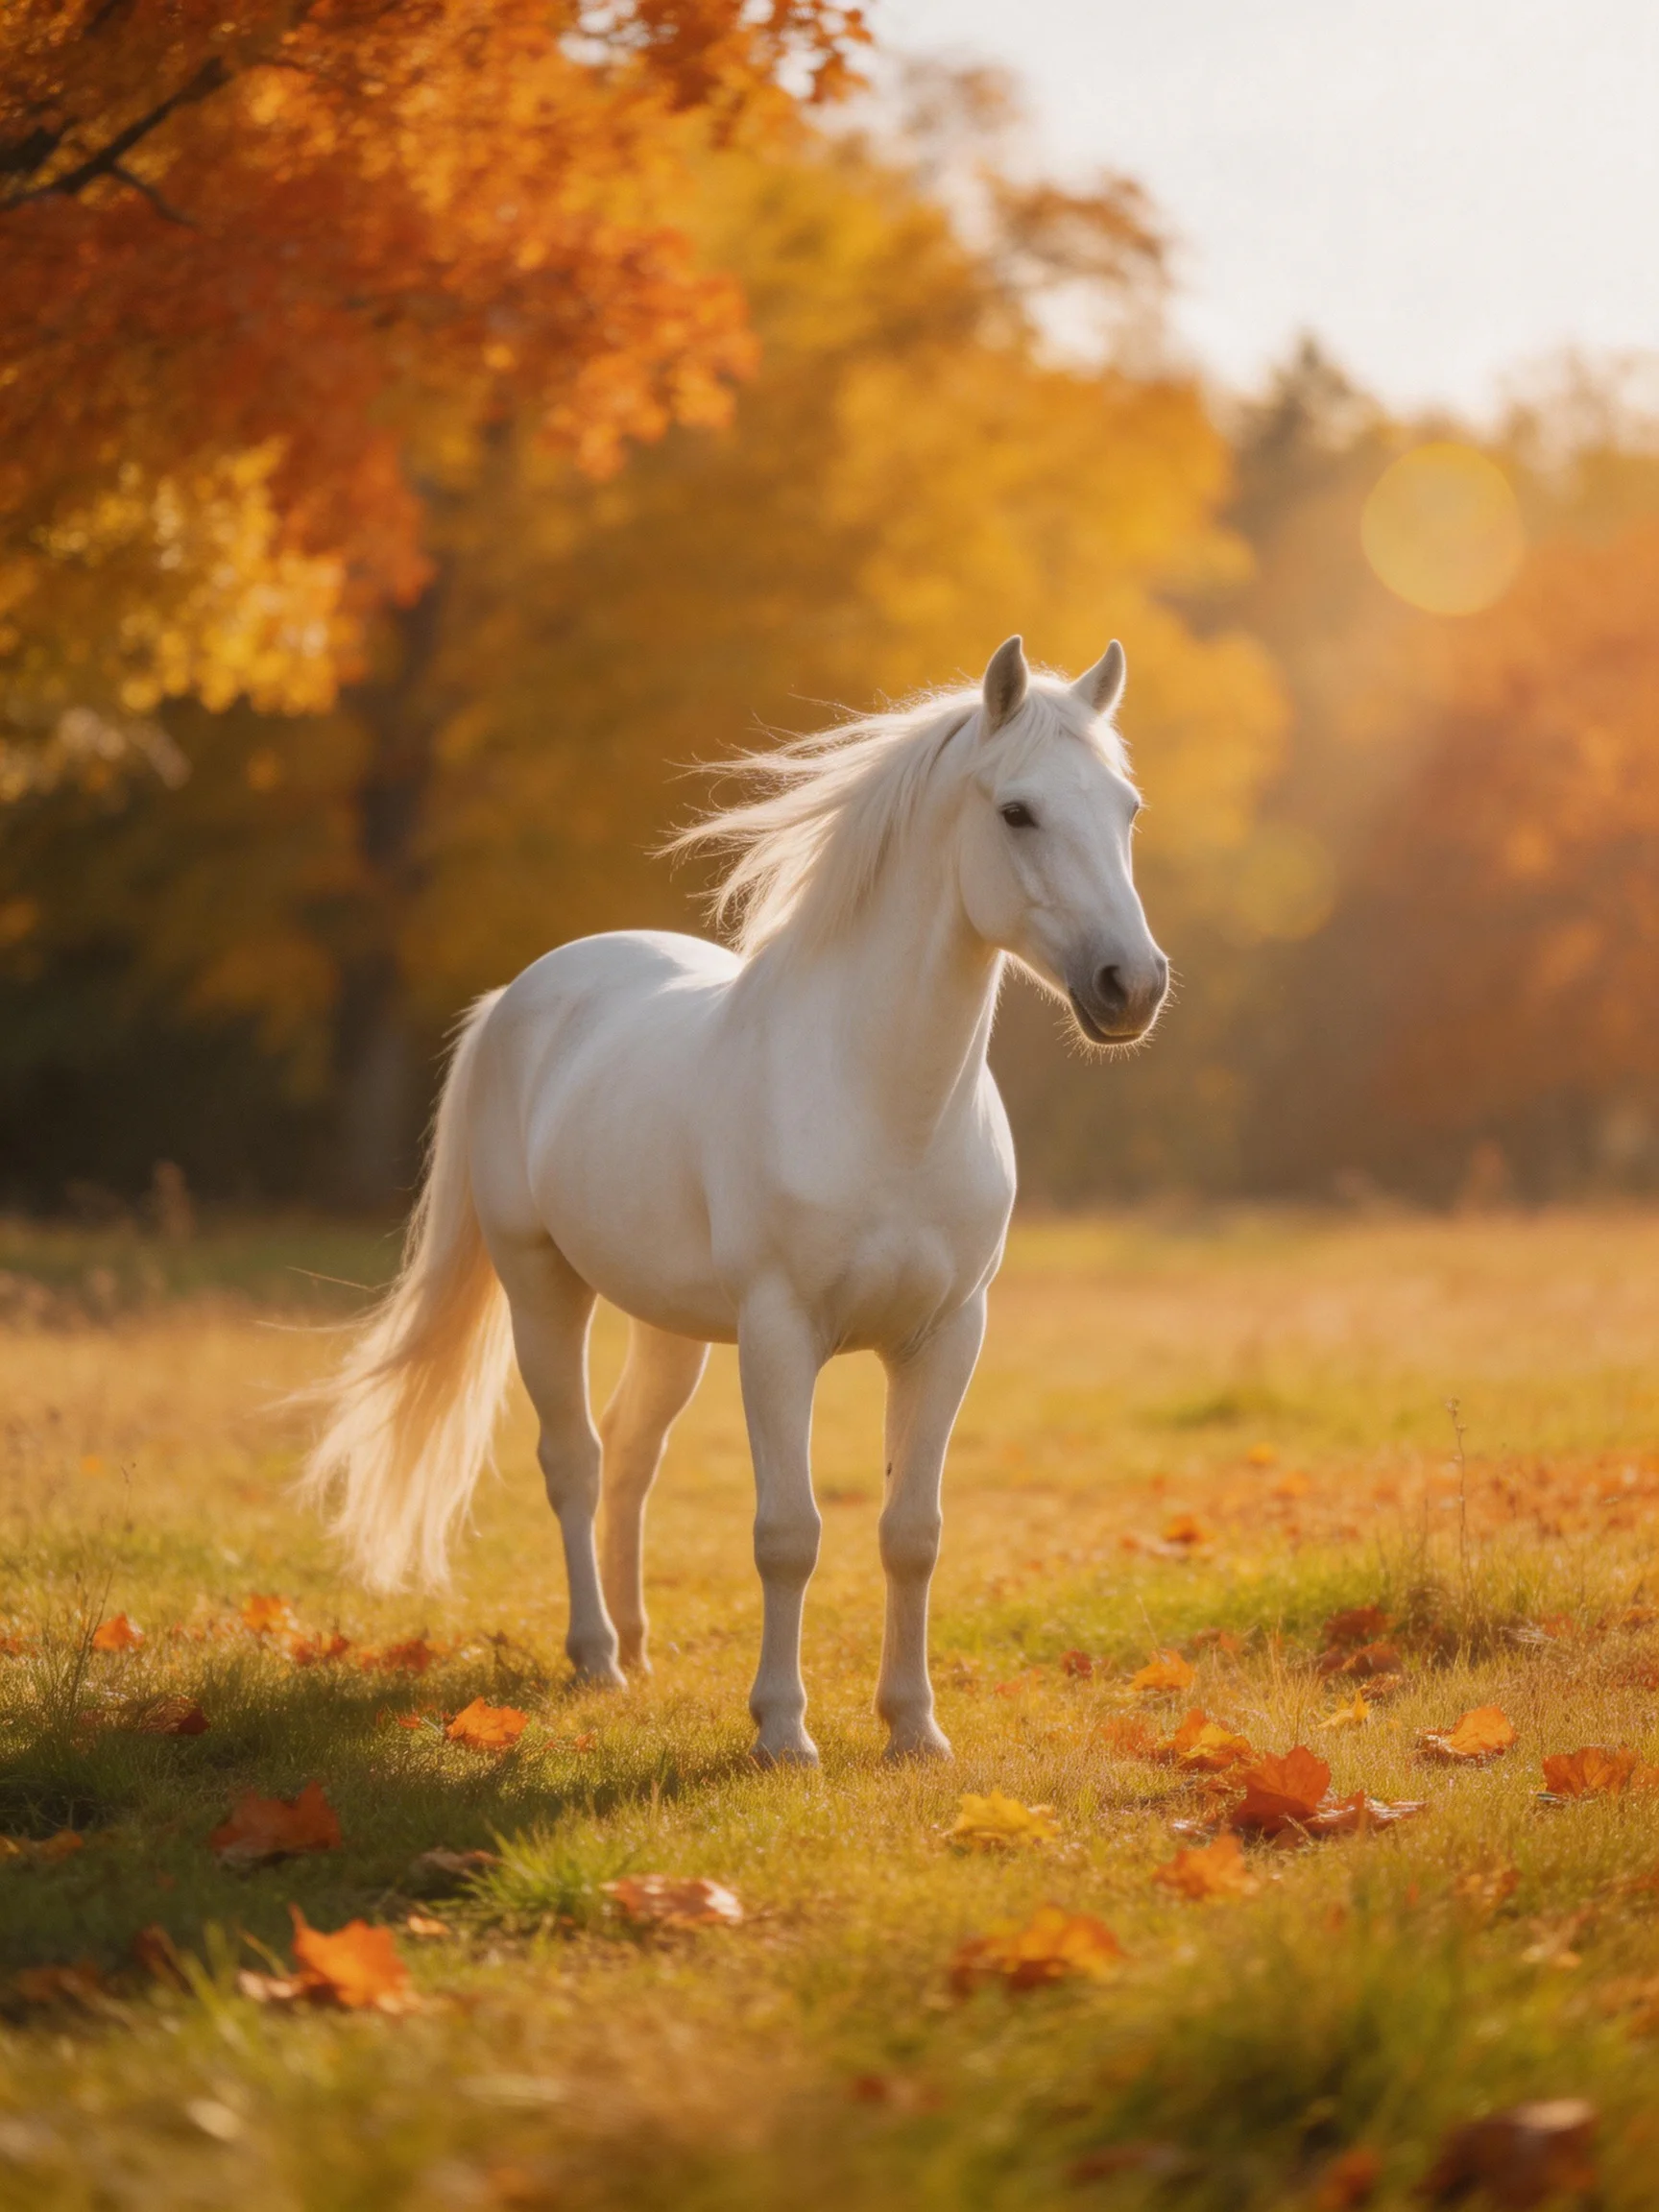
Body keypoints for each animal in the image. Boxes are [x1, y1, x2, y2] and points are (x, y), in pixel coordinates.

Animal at [303, 634, 1169, 1765]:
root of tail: (521, 997)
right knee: (575, 1461)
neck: (883, 1101)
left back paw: (637, 1646)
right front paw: (783, 1732)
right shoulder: (779, 1334)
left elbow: (912, 1533)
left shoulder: (946, 1334)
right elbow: (788, 1533)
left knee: (632, 1456)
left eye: (1126, 808)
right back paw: (596, 1658)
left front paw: (913, 1729)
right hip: (544, 1288)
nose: (1132, 986)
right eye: (1017, 812)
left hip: (670, 1327)